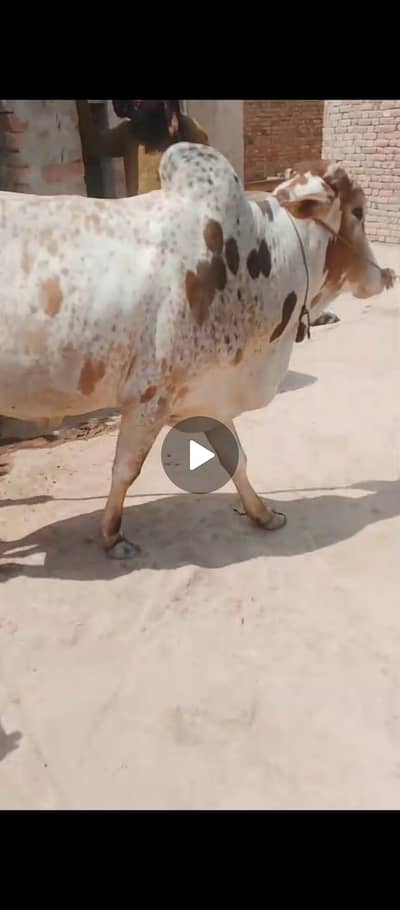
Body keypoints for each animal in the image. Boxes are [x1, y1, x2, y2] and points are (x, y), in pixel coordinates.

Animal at [0, 144, 394, 558]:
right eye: (358, 211)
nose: (385, 275)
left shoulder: (211, 395)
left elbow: (236, 459)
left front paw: (262, 514)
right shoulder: (149, 397)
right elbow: (125, 469)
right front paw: (112, 535)